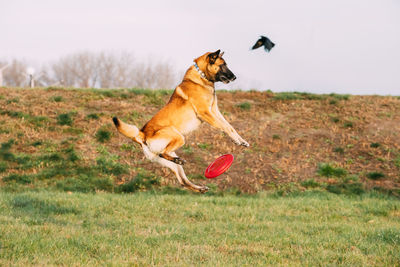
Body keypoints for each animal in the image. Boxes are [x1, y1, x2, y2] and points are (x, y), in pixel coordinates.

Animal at [112, 49, 248, 193]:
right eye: (222, 65)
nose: (234, 77)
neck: (201, 78)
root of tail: (142, 134)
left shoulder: (216, 112)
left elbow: (230, 127)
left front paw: (240, 141)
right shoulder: (206, 113)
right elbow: (225, 127)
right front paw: (237, 140)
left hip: (171, 157)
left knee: (182, 180)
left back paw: (198, 186)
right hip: (179, 137)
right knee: (163, 153)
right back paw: (181, 162)